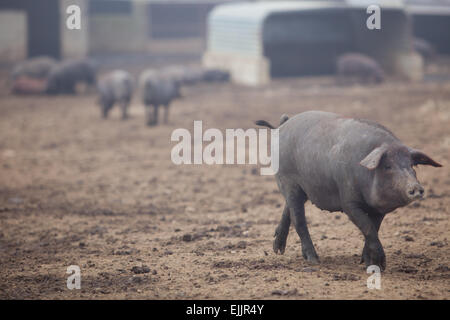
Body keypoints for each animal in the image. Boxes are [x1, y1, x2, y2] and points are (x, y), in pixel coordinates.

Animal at [256, 110, 442, 270]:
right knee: (298, 218)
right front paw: (380, 265)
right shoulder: (348, 201)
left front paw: (367, 263)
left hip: (303, 188)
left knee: (288, 207)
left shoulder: (378, 211)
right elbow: (367, 227)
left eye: (412, 166)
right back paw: (313, 260)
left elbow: (374, 229)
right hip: (288, 181)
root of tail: (283, 126)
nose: (416, 188)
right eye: (388, 166)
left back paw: (278, 249)